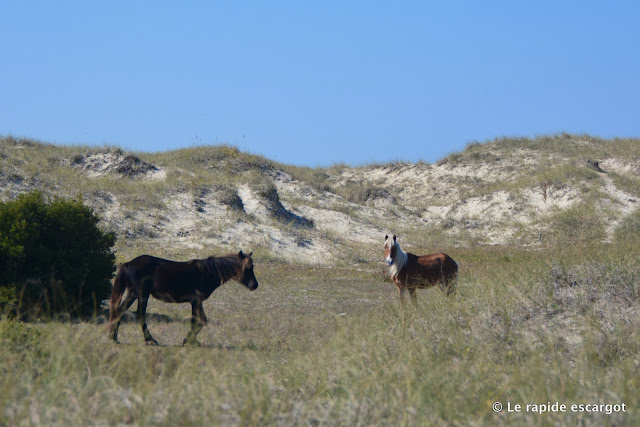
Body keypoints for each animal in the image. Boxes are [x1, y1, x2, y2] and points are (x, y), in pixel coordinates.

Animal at [107, 251, 258, 348]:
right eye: (247, 268)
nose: (254, 285)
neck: (207, 272)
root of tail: (127, 264)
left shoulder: (198, 302)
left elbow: (202, 320)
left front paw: (191, 340)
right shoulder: (195, 301)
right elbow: (196, 320)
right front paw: (189, 340)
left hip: (133, 294)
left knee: (120, 311)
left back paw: (114, 337)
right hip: (142, 294)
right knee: (140, 314)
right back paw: (150, 340)